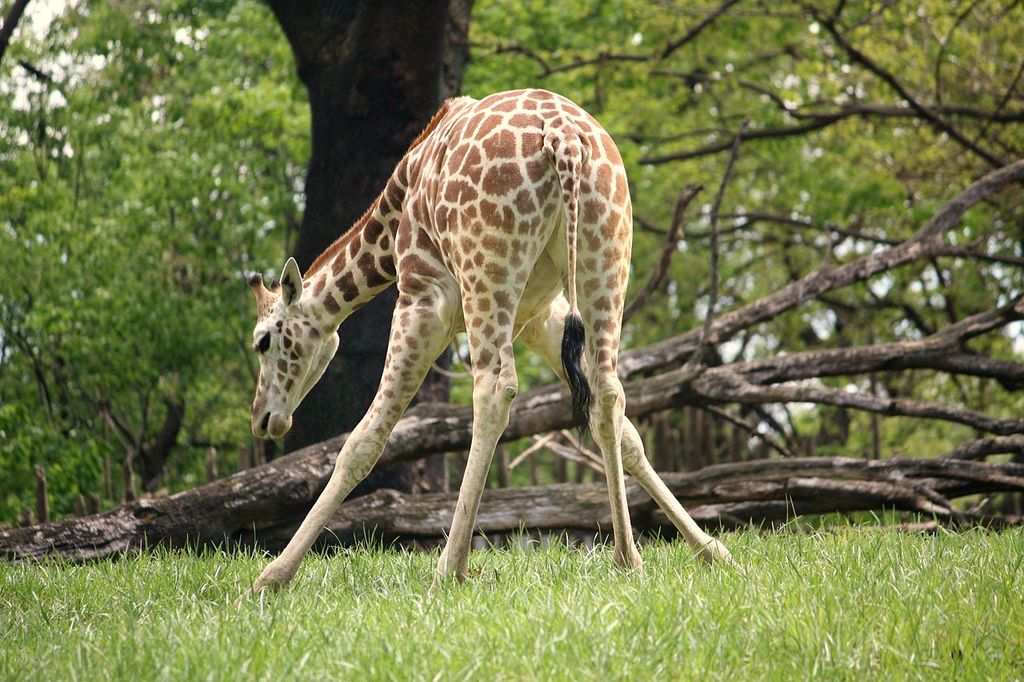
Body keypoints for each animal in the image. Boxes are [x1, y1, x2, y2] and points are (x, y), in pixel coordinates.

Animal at [244, 89, 733, 589]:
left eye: (262, 341)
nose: (263, 419)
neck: (393, 215)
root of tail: (564, 139)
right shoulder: (540, 317)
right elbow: (631, 435)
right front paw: (711, 548)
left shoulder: (422, 298)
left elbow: (363, 441)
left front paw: (273, 575)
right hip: (603, 258)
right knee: (608, 392)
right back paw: (626, 557)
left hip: (488, 272)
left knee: (495, 392)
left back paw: (449, 566)